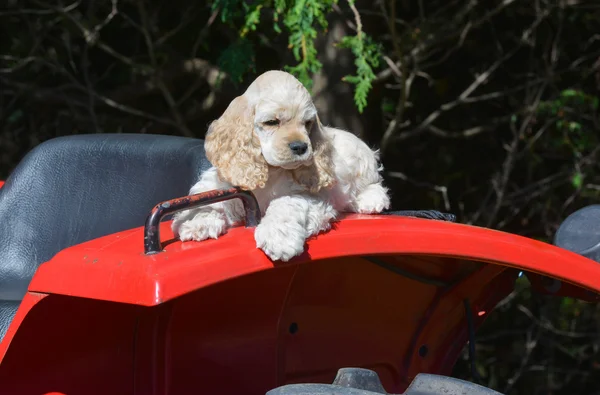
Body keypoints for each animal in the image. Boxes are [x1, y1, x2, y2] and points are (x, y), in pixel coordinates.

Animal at [171, 70, 392, 262]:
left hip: (361, 161)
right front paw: (196, 221)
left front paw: (278, 238)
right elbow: (205, 197)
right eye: (271, 122)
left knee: (372, 184)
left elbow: (285, 205)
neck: (269, 171)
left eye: (307, 123)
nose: (301, 147)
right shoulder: (224, 181)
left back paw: (370, 200)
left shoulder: (308, 196)